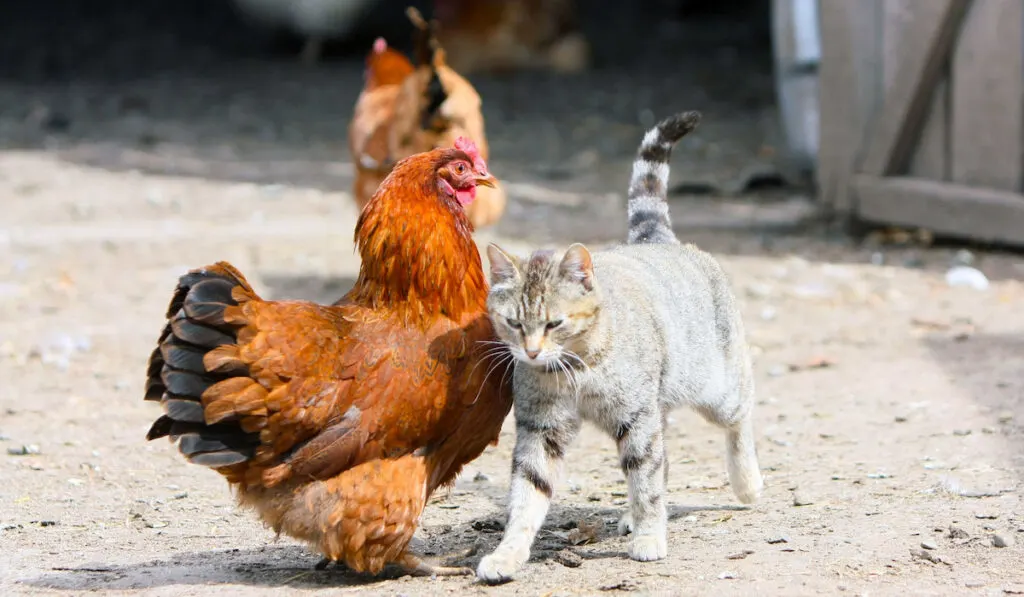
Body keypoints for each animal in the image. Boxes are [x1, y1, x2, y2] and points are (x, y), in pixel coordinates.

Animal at [475, 108, 765, 585]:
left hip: (715, 388)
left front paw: (649, 535)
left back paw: (747, 483)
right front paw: (507, 554)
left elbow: (646, 481)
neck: (574, 369)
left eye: (554, 323)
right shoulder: (541, 428)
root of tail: (656, 239)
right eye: (513, 323)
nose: (531, 352)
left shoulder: (635, 417)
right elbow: (527, 495)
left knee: (739, 419)